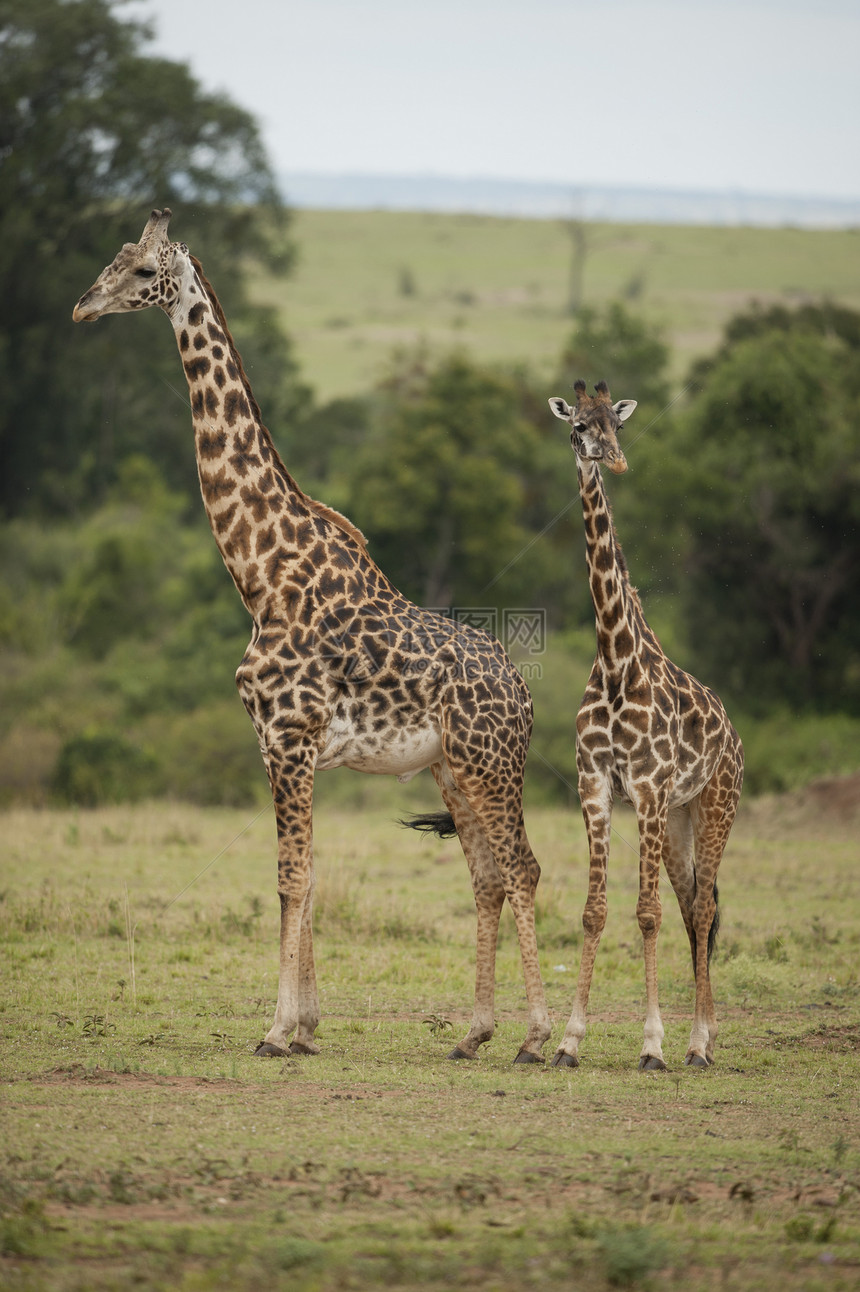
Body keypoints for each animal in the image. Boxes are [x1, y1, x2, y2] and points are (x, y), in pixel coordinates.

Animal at [71, 206, 550, 1059]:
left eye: (141, 272)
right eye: (112, 261)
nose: (81, 307)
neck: (260, 573)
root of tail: (524, 698)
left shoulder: (290, 737)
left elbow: (289, 875)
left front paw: (275, 1030)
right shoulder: (278, 744)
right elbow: (312, 871)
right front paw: (306, 1028)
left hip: (491, 766)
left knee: (522, 869)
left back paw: (540, 1037)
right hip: (451, 771)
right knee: (489, 876)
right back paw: (474, 1034)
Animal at [550, 382, 743, 1069]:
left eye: (617, 422)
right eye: (580, 425)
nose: (615, 460)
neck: (615, 659)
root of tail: (735, 735)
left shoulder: (650, 790)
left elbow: (647, 913)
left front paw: (653, 1044)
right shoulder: (597, 788)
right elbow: (594, 911)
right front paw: (567, 1041)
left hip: (713, 806)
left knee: (704, 907)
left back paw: (698, 1045)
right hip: (681, 818)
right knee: (695, 907)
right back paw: (701, 1036)